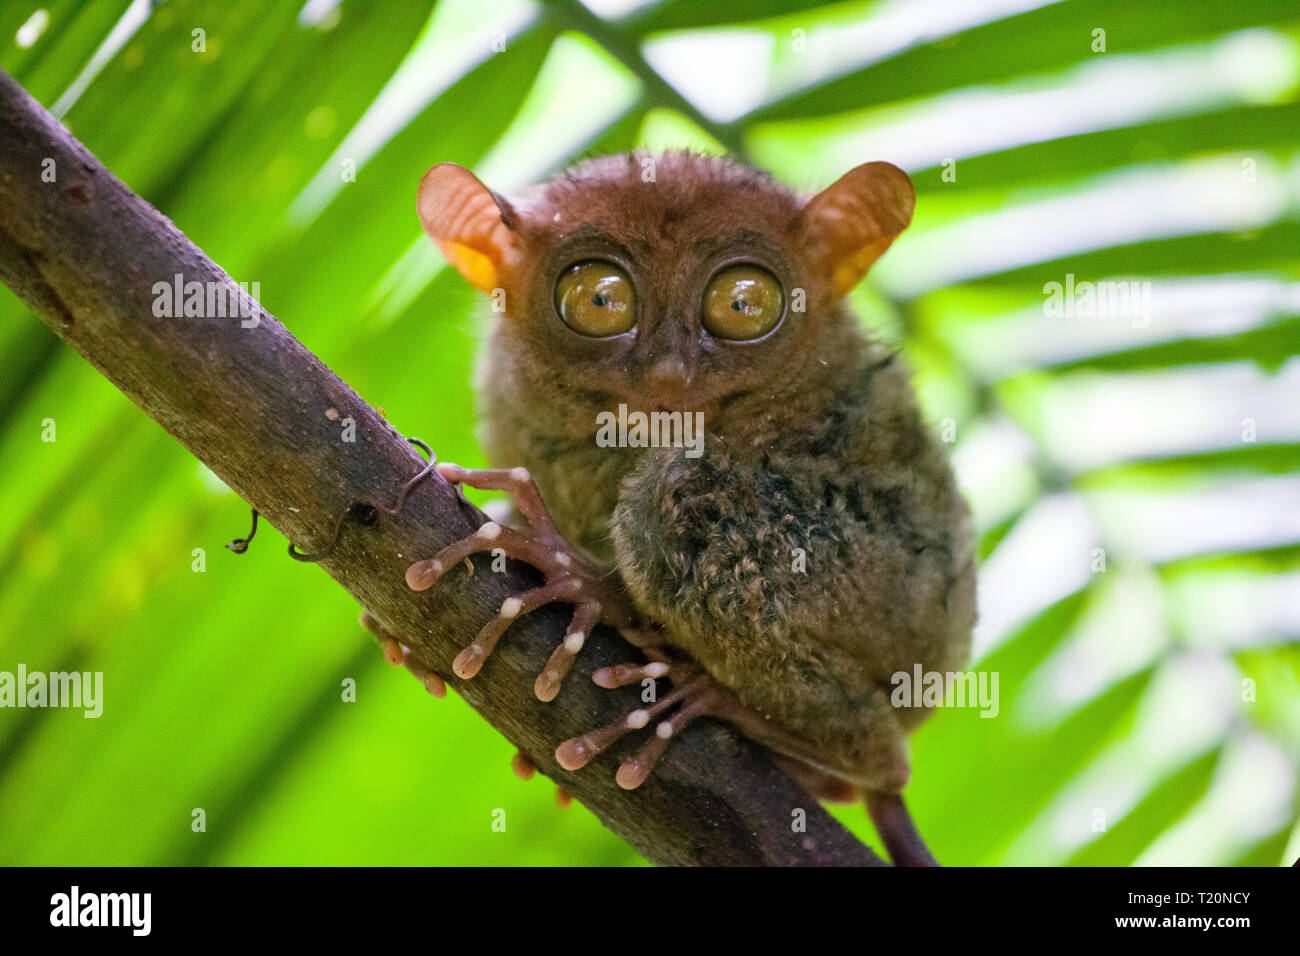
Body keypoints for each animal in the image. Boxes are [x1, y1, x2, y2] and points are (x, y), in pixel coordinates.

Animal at [393, 150, 976, 864]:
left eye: (743, 303)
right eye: (600, 299)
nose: (669, 373)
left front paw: (570, 574)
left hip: (892, 592)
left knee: (672, 495)